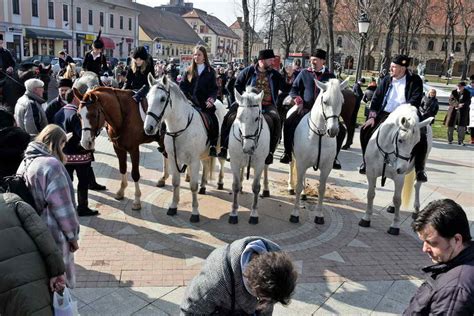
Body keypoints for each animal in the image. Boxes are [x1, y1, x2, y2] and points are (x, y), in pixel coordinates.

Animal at [143, 74, 227, 222]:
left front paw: (195, 212)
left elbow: (193, 186)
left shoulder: (193, 160)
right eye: (147, 97)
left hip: (217, 148)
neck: (180, 129)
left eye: (162, 99)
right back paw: (203, 186)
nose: (149, 128)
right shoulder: (173, 158)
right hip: (203, 153)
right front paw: (173, 206)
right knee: (206, 164)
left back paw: (220, 182)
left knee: (221, 162)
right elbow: (175, 182)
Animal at [227, 86, 268, 225]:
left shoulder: (260, 164)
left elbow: (255, 187)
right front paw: (233, 213)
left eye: (256, 118)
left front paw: (254, 214)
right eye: (238, 118)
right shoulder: (234, 162)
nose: (248, 148)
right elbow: (234, 186)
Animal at [286, 78, 348, 223]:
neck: (319, 134)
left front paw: (319, 215)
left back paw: (304, 194)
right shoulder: (301, 163)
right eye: (325, 101)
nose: (333, 131)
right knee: (292, 165)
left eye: (342, 101)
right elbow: (298, 186)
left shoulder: (326, 167)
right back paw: (291, 186)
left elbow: (322, 189)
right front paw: (295, 213)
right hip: (294, 156)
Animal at [360, 104, 434, 235]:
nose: (401, 168)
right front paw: (366, 218)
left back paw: (416, 210)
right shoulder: (371, 173)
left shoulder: (399, 177)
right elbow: (370, 194)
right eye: (400, 140)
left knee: (417, 185)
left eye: (416, 143)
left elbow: (397, 199)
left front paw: (395, 225)